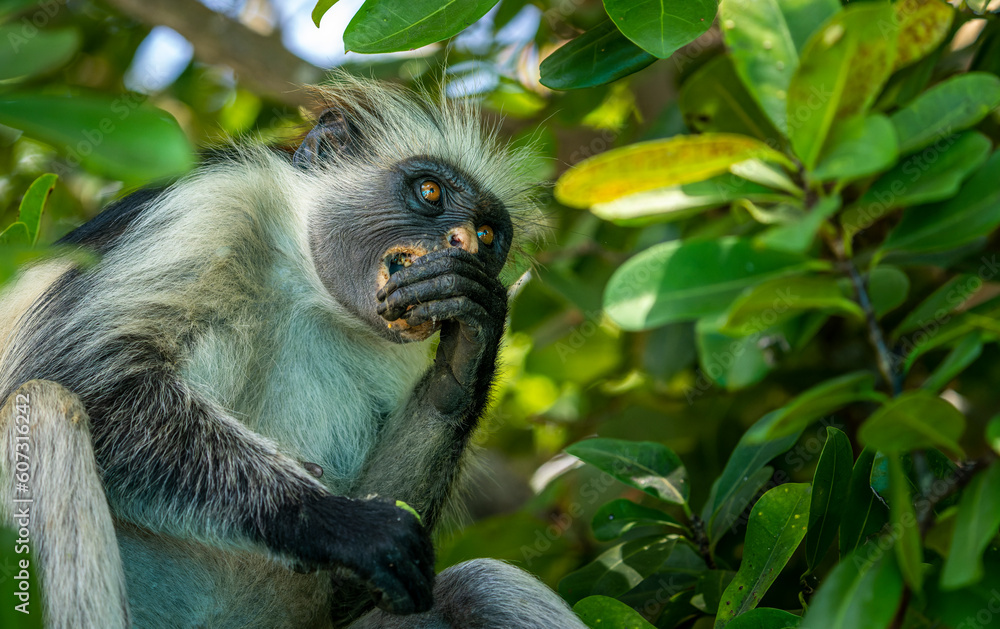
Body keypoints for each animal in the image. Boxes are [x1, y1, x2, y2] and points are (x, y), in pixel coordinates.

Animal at [0, 75, 587, 629]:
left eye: (488, 234)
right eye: (430, 192)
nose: (464, 243)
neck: (304, 280)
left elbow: (355, 592)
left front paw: (470, 347)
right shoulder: (211, 205)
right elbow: (83, 377)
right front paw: (339, 523)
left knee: (484, 585)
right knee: (44, 401)